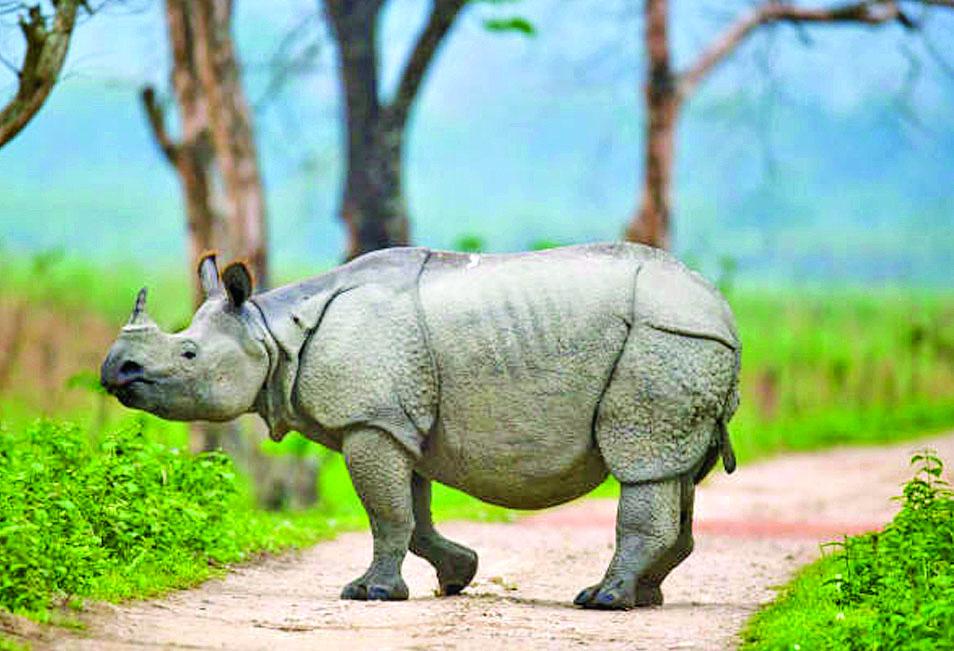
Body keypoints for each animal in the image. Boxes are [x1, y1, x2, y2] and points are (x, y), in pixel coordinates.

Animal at [100, 243, 740, 610]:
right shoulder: (394, 420)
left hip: (665, 340)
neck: (270, 331)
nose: (114, 370)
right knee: (677, 472)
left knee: (642, 462)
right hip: (685, 345)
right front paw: (458, 576)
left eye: (187, 355)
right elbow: (412, 513)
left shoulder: (370, 419)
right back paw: (645, 598)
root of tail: (722, 309)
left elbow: (387, 514)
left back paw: (602, 600)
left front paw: (372, 594)